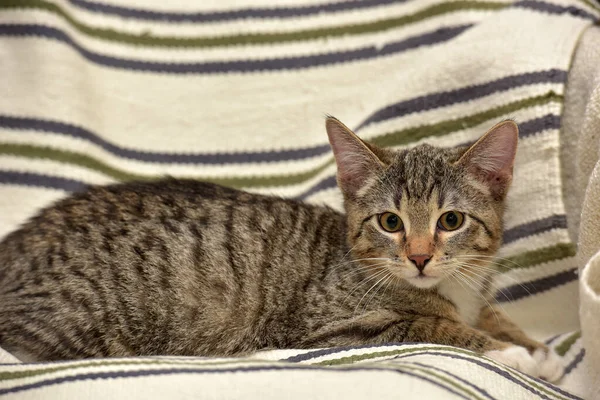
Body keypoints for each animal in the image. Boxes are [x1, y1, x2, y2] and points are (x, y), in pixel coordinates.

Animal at [0, 116, 564, 382]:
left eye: (450, 221)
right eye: (390, 222)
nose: (421, 257)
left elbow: (492, 315)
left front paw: (537, 348)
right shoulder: (333, 326)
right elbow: (435, 326)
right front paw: (511, 352)